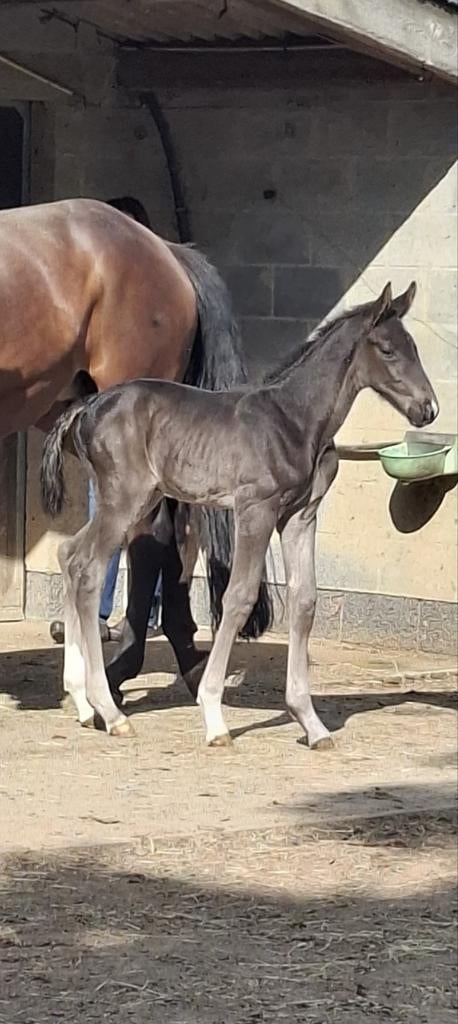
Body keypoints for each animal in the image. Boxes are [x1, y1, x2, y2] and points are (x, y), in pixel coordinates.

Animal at [40, 281, 439, 748]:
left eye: (415, 348)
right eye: (388, 350)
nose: (428, 409)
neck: (294, 419)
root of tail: (87, 407)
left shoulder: (300, 516)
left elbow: (305, 600)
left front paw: (311, 723)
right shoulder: (256, 510)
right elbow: (239, 597)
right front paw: (214, 717)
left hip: (132, 499)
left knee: (69, 554)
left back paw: (84, 703)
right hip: (125, 498)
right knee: (86, 567)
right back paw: (110, 711)